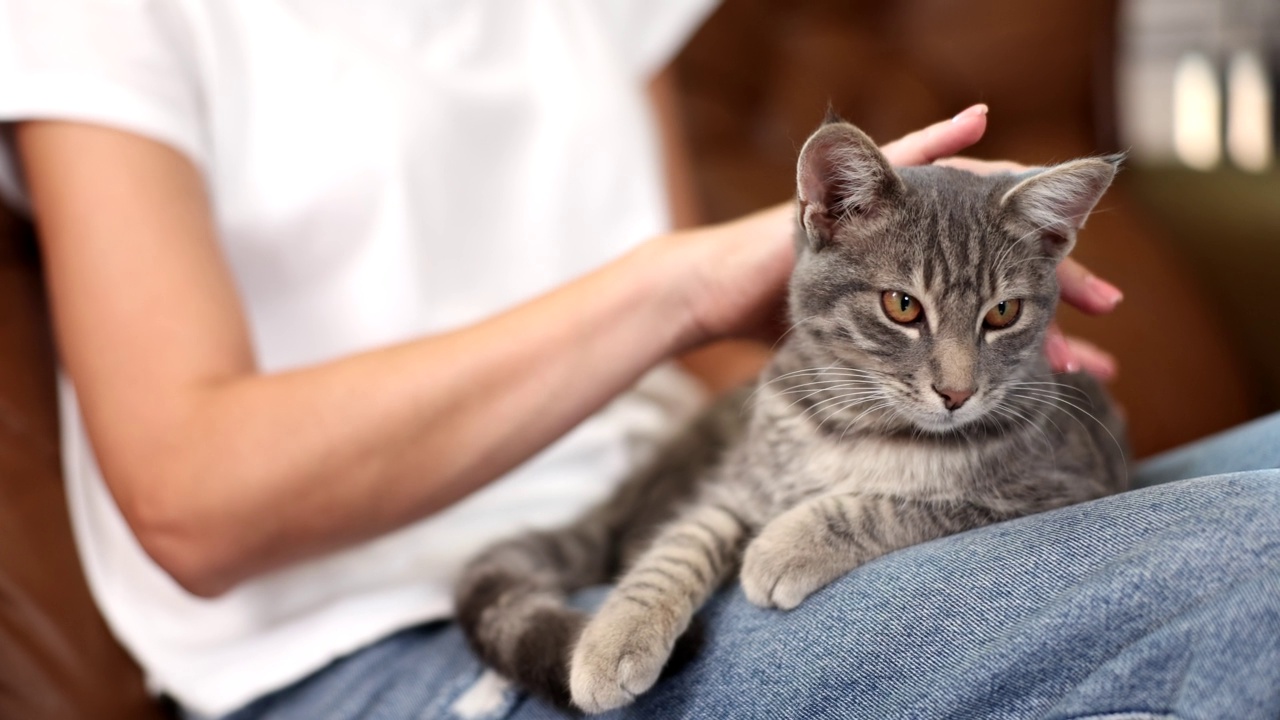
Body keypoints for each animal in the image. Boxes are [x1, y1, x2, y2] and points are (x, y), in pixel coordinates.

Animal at [453, 119, 1131, 712]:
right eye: (902, 306)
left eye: (1002, 314)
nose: (957, 393)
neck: (859, 420)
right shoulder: (738, 484)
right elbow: (681, 540)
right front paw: (616, 634)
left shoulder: (1060, 483)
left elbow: (905, 503)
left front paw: (783, 546)